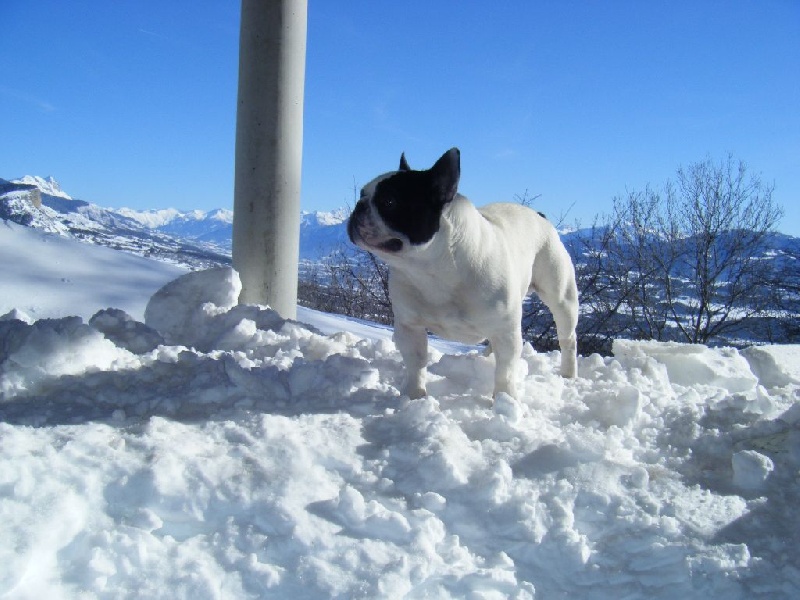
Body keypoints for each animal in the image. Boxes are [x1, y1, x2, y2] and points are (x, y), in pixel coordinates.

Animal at [346, 148, 580, 398]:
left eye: (389, 201)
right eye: (362, 192)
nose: (359, 204)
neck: (432, 269)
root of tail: (540, 216)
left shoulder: (506, 332)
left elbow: (505, 372)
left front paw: (504, 399)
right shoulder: (410, 327)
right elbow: (416, 362)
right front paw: (414, 396)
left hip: (560, 297)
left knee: (568, 339)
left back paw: (568, 374)